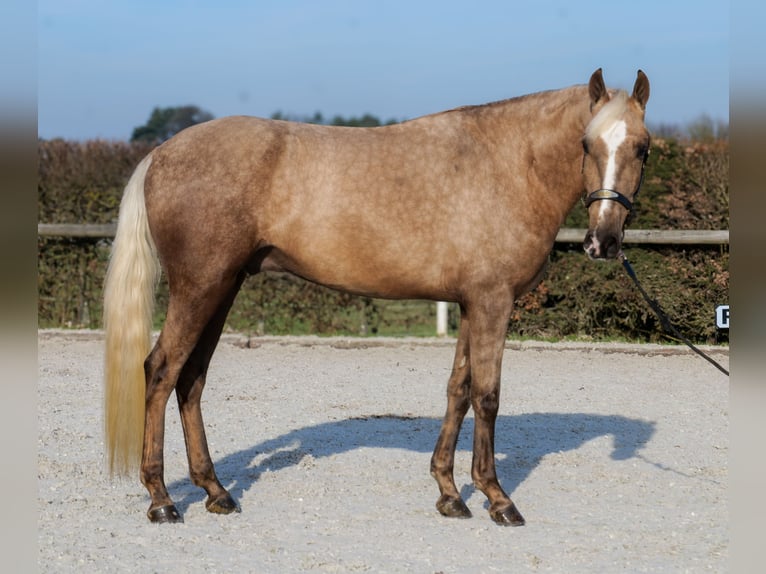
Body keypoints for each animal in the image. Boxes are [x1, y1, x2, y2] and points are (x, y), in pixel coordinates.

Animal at [103, 68, 650, 525]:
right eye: (586, 143)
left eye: (643, 147)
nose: (604, 242)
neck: (507, 163)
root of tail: (161, 153)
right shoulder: (494, 302)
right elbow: (488, 396)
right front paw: (497, 498)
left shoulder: (471, 303)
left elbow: (458, 391)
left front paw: (449, 493)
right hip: (199, 287)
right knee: (161, 370)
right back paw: (161, 500)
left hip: (222, 287)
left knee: (191, 379)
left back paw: (215, 491)